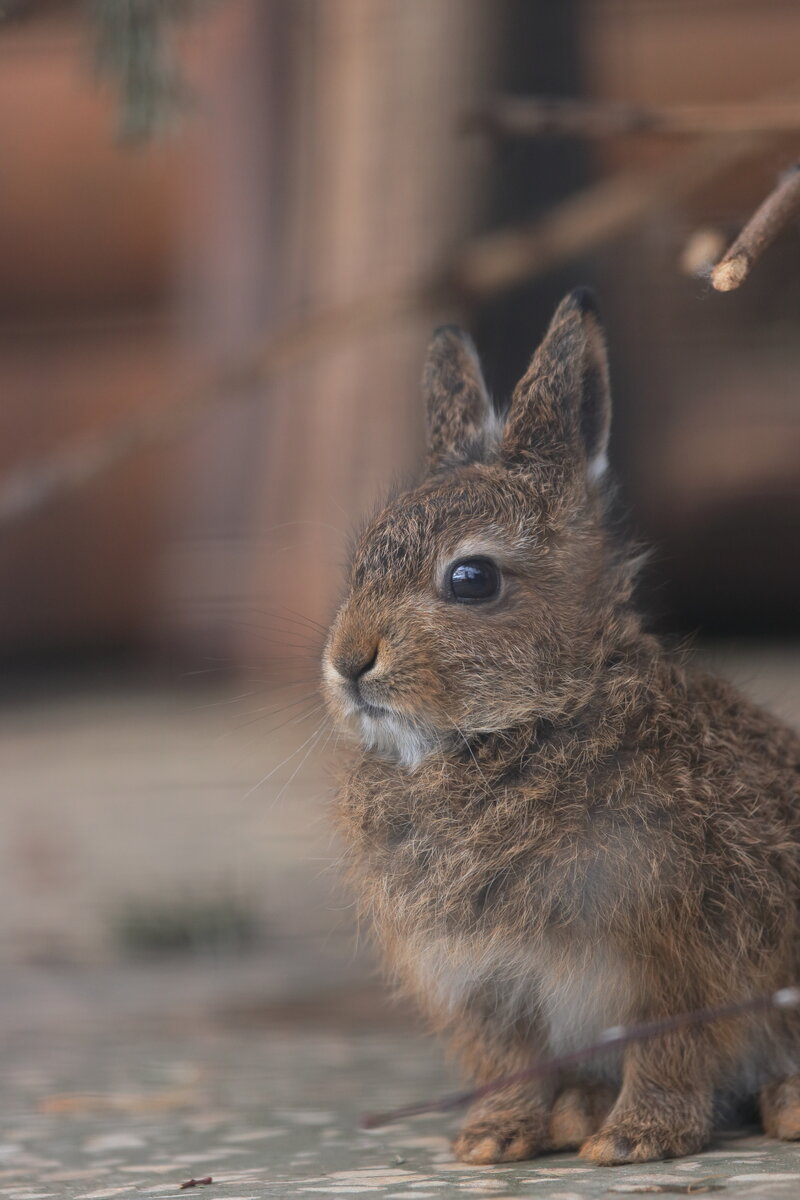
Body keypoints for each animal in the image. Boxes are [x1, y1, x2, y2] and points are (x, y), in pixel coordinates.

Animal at [319, 288, 800, 1161]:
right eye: (363, 560)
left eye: (471, 579)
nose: (349, 663)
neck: (529, 720)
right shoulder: (488, 986)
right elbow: (510, 1062)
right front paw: (494, 1139)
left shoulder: (669, 962)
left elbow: (668, 1052)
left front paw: (636, 1140)